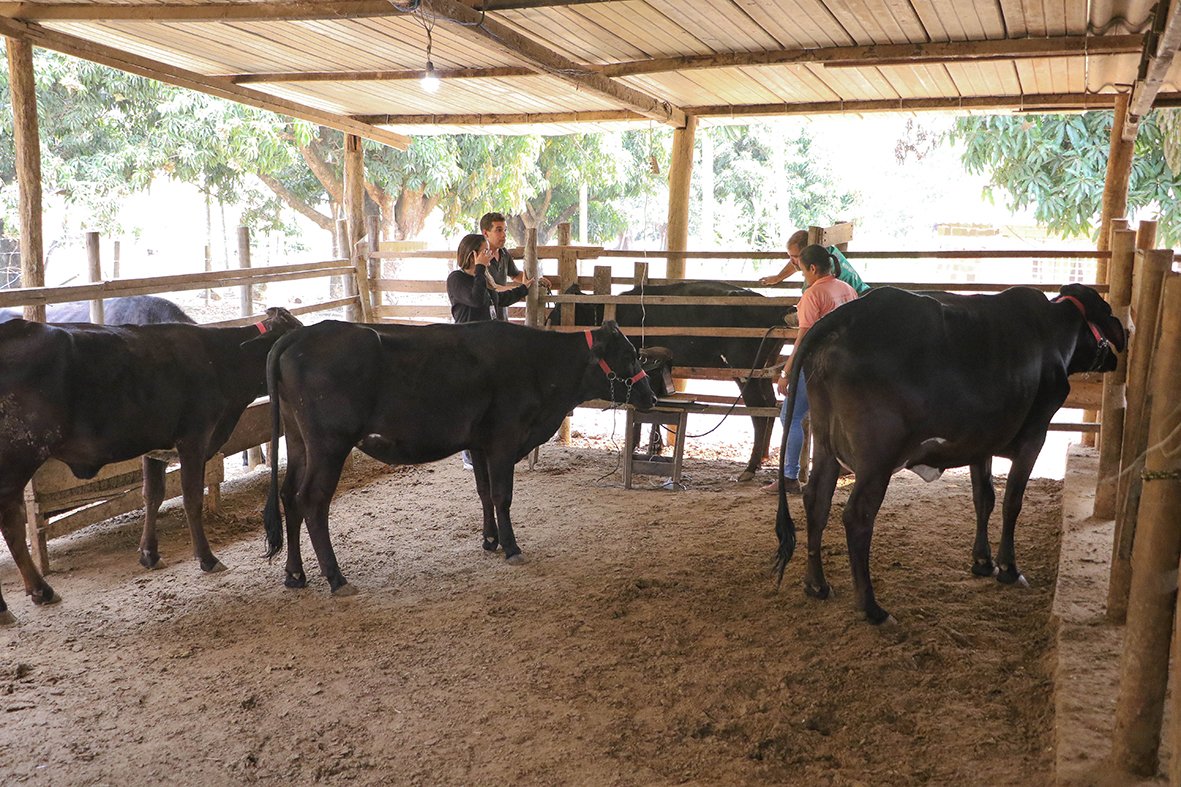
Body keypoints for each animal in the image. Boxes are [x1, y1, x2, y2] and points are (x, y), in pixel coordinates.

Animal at [0, 307, 304, 619]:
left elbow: (152, 495)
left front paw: (149, 554)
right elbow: (192, 498)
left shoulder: (155, 449)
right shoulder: (194, 439)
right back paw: (38, 591)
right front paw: (206, 558)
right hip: (19, 456)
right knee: (11, 522)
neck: (222, 361)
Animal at [263, 316, 661, 590]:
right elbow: (502, 495)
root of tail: (300, 334)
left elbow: (484, 493)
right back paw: (335, 577)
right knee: (312, 500)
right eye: (629, 356)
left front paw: (490, 540)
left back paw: (295, 574)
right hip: (330, 444)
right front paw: (511, 547)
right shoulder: (503, 439)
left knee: (288, 496)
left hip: (298, 441)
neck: (539, 366)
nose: (653, 397)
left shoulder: (479, 443)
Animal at [550, 278, 793, 482]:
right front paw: (653, 447)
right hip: (763, 371)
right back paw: (762, 457)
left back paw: (750, 467)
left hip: (746, 372)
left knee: (758, 412)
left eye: (558, 313)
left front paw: (639, 445)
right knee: (770, 404)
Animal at [774, 284, 1124, 623]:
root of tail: (843, 316)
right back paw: (871, 608)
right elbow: (1012, 502)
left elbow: (984, 498)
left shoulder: (981, 441)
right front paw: (1008, 568)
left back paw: (817, 585)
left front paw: (982, 561)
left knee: (816, 500)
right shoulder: (1035, 434)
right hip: (878, 457)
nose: (1117, 351)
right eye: (1107, 312)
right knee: (857, 515)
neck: (1053, 332)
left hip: (825, 444)